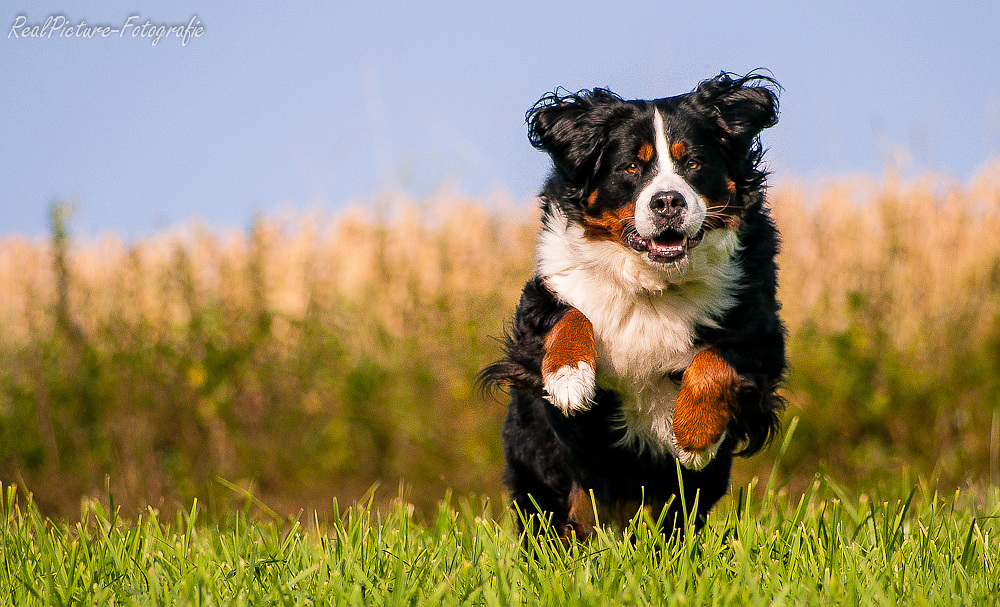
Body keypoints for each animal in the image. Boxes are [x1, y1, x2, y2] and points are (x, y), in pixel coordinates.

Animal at [480, 72, 784, 540]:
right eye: (631, 168)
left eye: (694, 164)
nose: (668, 202)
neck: (652, 285)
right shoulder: (544, 296)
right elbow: (571, 314)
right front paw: (569, 379)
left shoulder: (760, 331)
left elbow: (714, 362)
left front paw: (693, 437)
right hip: (541, 478)